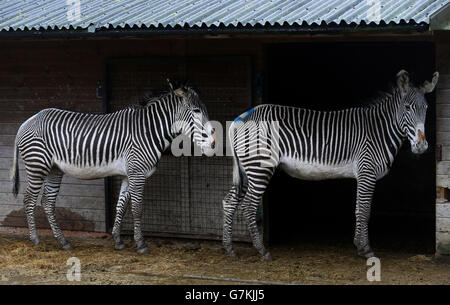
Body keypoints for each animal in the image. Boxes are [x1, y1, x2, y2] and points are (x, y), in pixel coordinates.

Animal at [10, 79, 214, 253]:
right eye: (196, 110)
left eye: (204, 109)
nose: (213, 144)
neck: (148, 131)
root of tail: (27, 121)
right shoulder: (137, 173)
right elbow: (137, 208)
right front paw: (141, 244)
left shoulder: (128, 175)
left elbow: (121, 207)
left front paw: (117, 241)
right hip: (37, 165)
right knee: (29, 200)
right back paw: (35, 239)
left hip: (54, 169)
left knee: (47, 202)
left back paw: (63, 241)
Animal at [224, 69, 440, 258]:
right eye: (407, 108)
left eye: (426, 109)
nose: (421, 146)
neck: (379, 131)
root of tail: (241, 118)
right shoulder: (367, 172)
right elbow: (364, 211)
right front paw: (366, 250)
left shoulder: (363, 175)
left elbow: (358, 210)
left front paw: (359, 246)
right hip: (260, 166)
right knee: (248, 206)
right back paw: (262, 251)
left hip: (246, 170)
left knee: (229, 201)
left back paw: (229, 249)